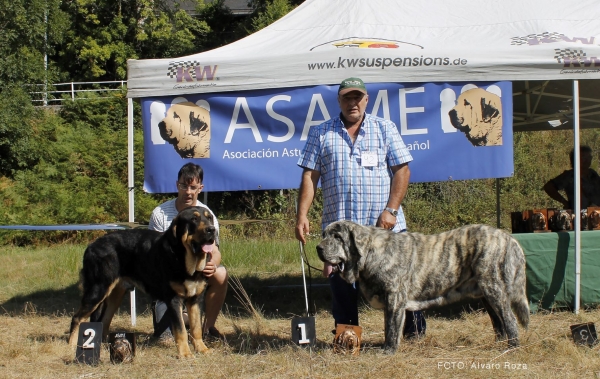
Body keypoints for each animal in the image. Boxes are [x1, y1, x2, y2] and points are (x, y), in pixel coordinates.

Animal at [69, 206, 217, 358]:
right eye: (194, 219)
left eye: (209, 218)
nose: (212, 229)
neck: (184, 258)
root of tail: (91, 246)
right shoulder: (174, 300)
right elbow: (181, 330)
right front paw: (185, 354)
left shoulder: (195, 299)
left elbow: (196, 327)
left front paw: (202, 349)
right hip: (98, 290)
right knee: (77, 318)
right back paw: (73, 347)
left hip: (115, 295)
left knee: (105, 319)